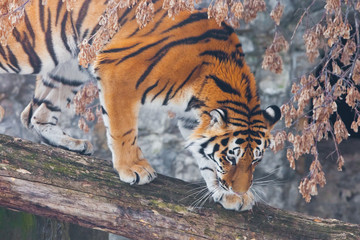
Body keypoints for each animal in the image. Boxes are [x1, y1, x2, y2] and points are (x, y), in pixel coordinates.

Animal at [0, 0, 282, 210]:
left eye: (256, 160)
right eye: (231, 157)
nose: (241, 189)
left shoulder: (193, 119)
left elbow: (204, 157)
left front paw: (231, 196)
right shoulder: (119, 75)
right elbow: (123, 130)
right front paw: (133, 169)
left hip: (69, 68)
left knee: (32, 114)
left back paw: (72, 144)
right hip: (25, 47)